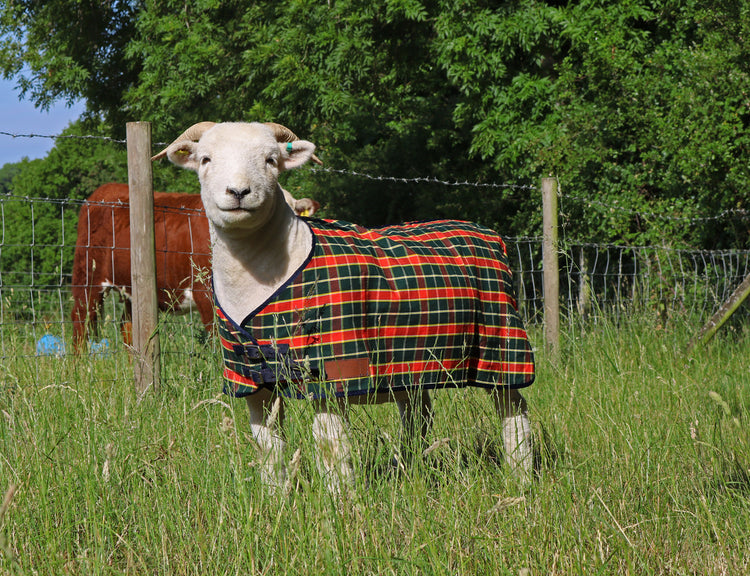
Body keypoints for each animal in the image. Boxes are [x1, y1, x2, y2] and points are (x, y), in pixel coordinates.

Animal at [153, 121, 534, 494]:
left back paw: (521, 476)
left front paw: (343, 502)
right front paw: (276, 498)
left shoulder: (331, 371)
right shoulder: (249, 377)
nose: (238, 192)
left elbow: (331, 447)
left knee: (513, 410)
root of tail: (485, 231)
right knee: (418, 415)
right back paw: (406, 467)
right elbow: (268, 447)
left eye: (271, 161)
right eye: (205, 159)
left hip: (502, 342)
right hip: (408, 363)